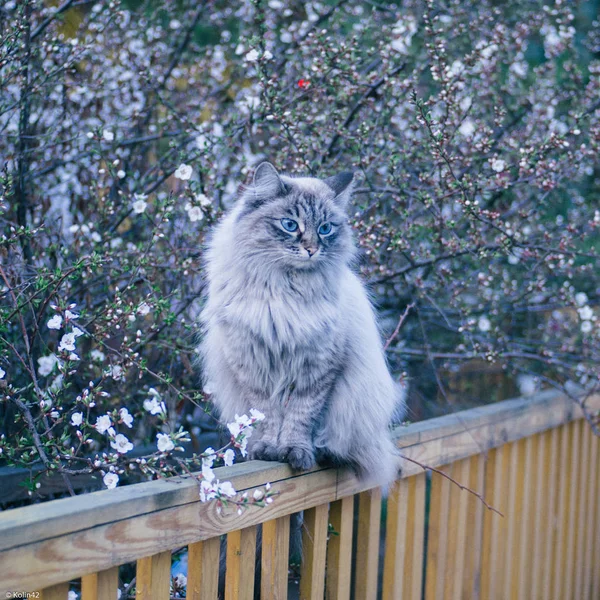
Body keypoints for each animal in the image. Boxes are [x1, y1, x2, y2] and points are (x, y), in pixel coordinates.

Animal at [199, 162, 406, 486]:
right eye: (290, 225)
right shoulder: (254, 366)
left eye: (325, 229)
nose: (311, 249)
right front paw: (268, 450)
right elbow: (268, 416)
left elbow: (301, 416)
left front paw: (295, 452)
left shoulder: (318, 367)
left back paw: (324, 452)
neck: (283, 290)